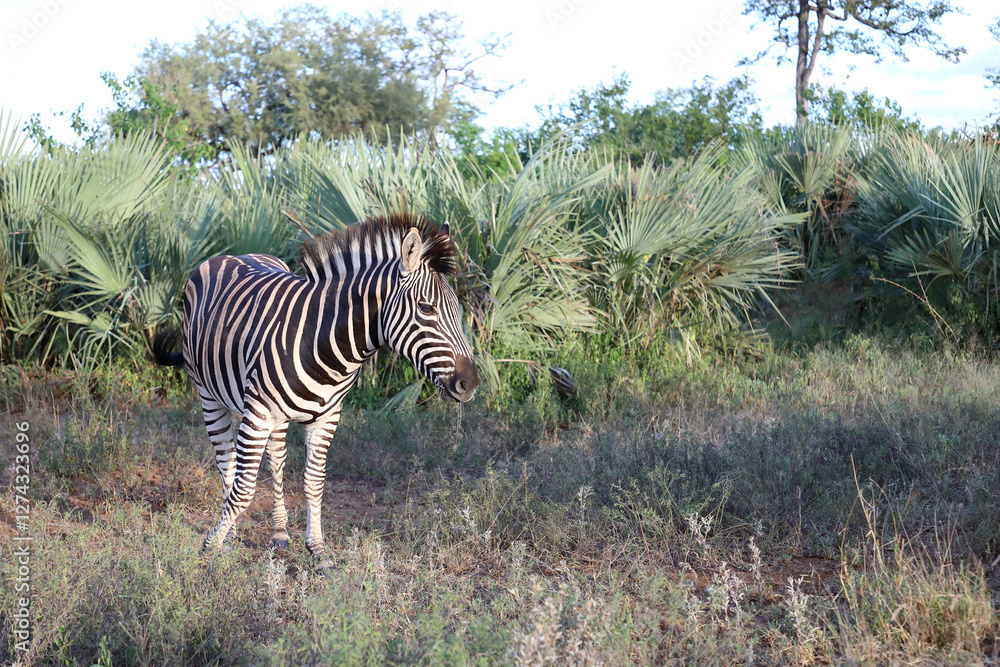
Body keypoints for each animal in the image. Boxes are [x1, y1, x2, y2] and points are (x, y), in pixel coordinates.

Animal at [152, 213, 478, 570]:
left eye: (458, 310)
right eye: (426, 309)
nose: (471, 383)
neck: (325, 344)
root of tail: (233, 255)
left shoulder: (326, 418)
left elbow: (314, 483)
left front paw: (318, 551)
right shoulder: (258, 415)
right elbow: (243, 488)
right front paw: (212, 544)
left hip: (275, 417)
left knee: (276, 459)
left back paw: (279, 532)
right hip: (210, 397)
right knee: (226, 464)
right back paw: (231, 535)